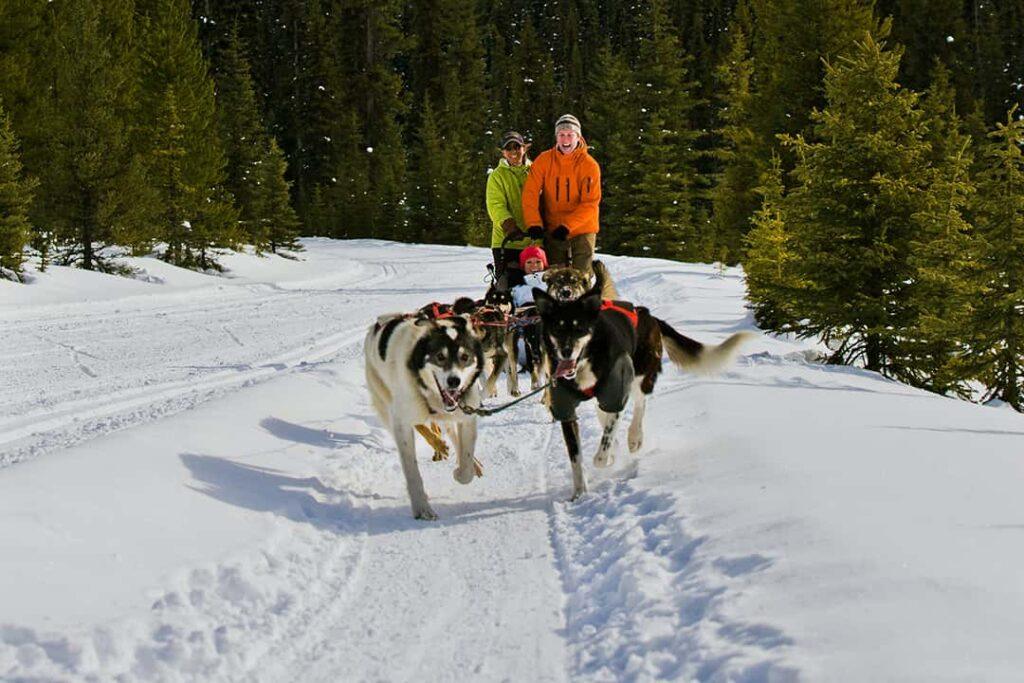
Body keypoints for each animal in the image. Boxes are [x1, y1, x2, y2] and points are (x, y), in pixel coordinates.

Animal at [364, 309, 483, 518]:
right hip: (387, 405)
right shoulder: (401, 423)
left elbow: (466, 464)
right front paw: (422, 507)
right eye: (440, 356)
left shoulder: (467, 417)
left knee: (450, 431)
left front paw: (463, 469)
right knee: (420, 425)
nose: (454, 381)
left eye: (465, 357)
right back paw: (438, 443)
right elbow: (412, 471)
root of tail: (381, 321)